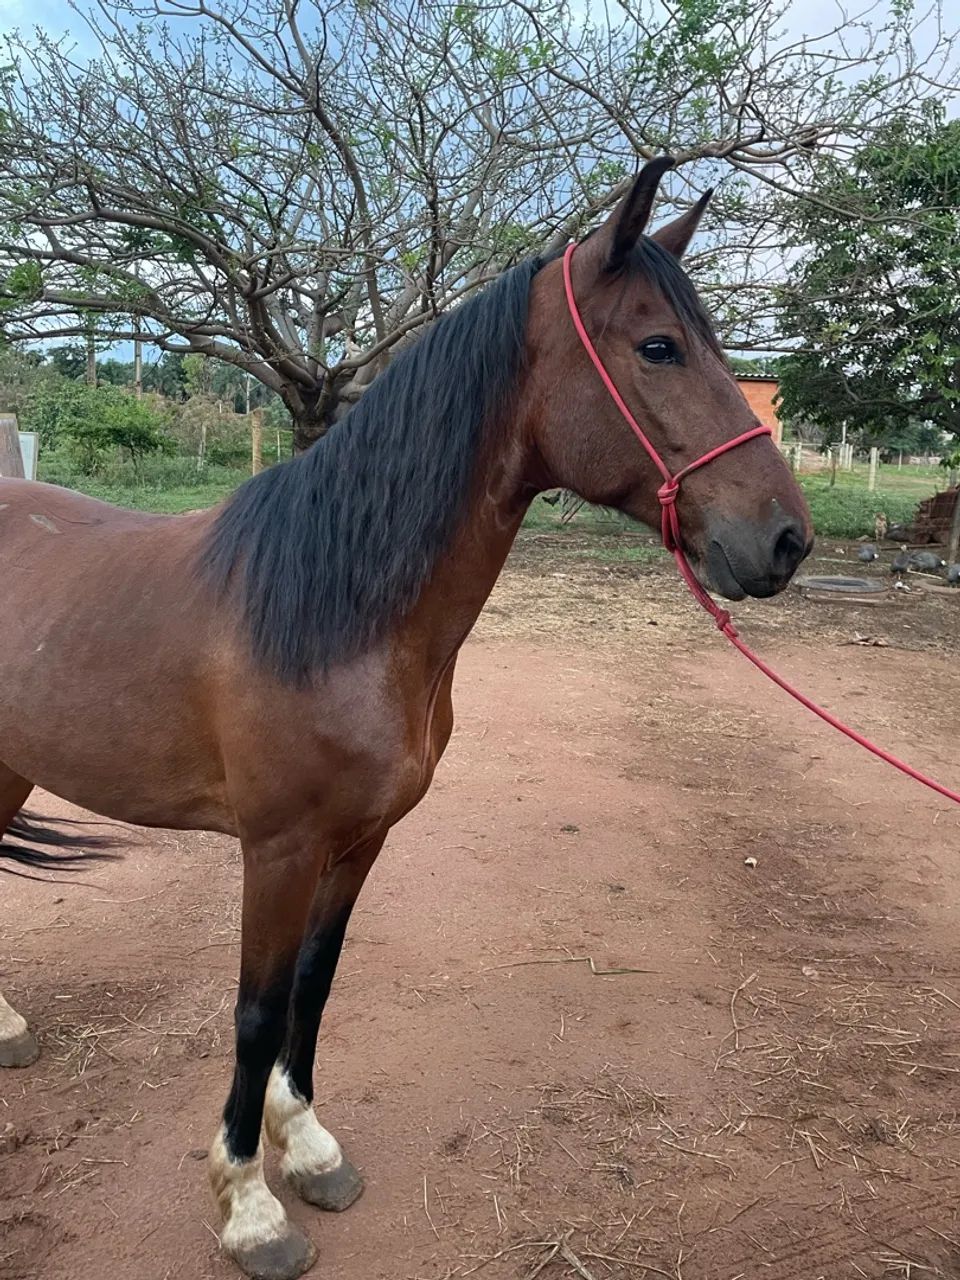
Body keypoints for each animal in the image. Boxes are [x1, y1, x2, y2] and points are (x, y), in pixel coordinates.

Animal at [0, 157, 812, 1280]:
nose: (785, 538)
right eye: (658, 346)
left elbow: (314, 987)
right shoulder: (279, 848)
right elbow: (256, 1010)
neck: (336, 608)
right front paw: (250, 1208)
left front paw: (309, 1150)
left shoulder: (363, 839)